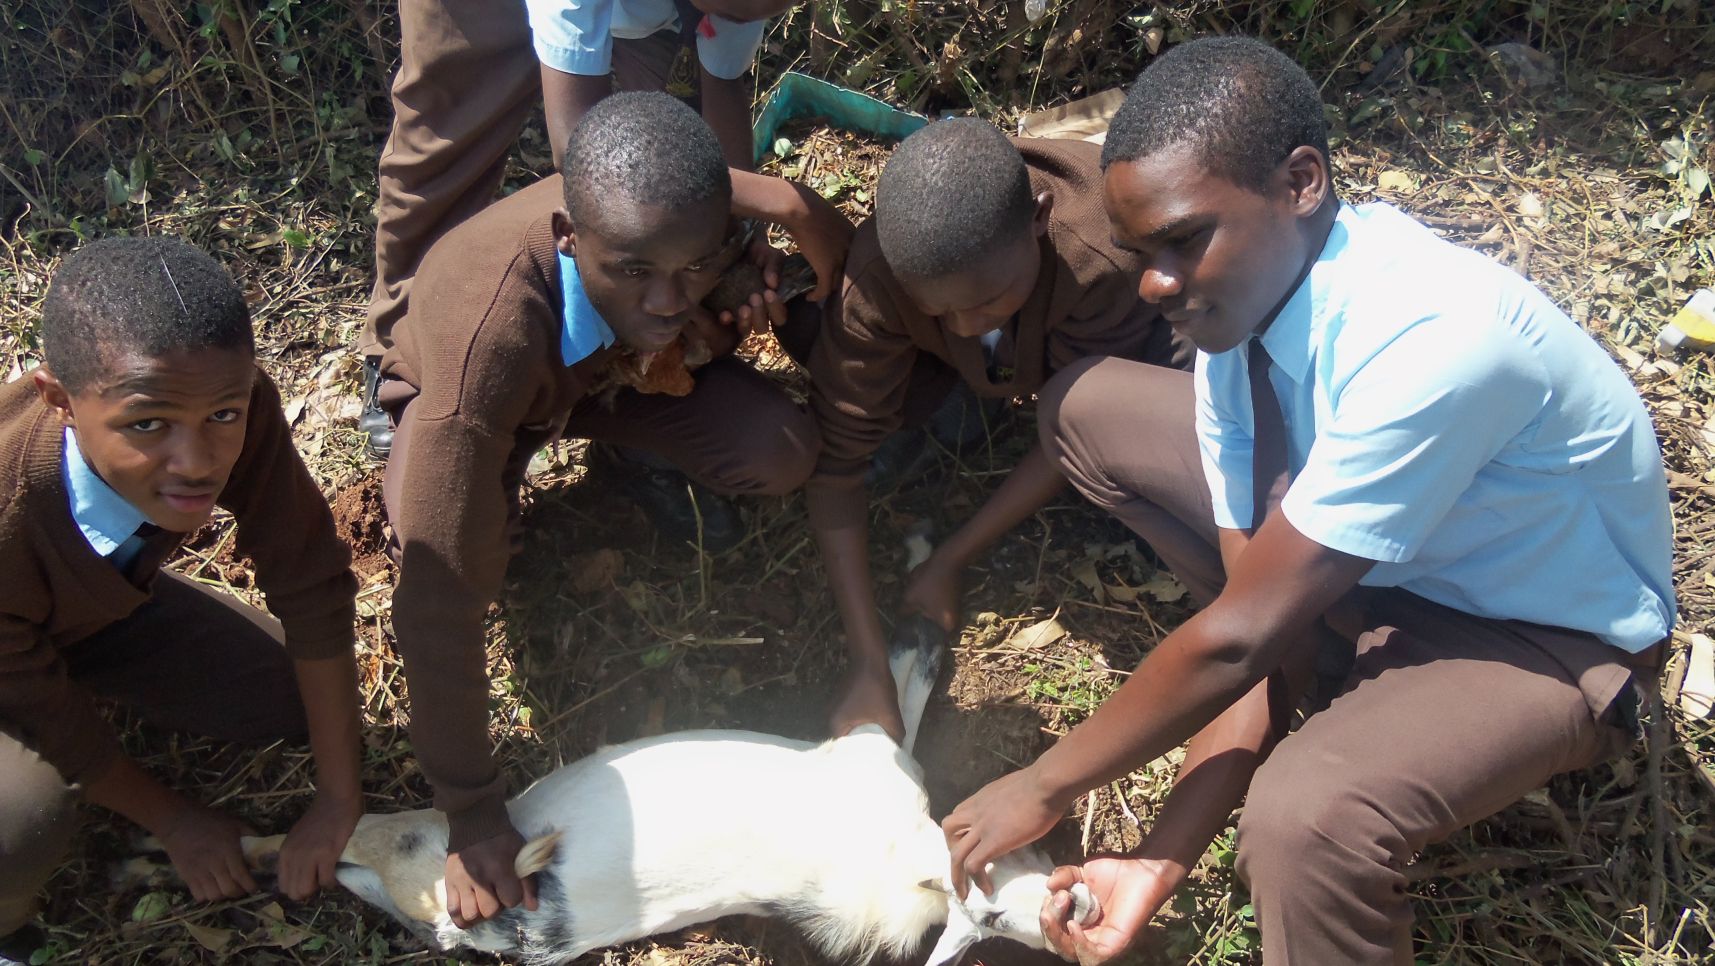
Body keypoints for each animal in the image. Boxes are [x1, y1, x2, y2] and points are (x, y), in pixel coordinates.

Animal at [236, 538, 1094, 964]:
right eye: (989, 913)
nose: (1074, 909)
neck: (899, 858)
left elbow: (908, 685)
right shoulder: (871, 752)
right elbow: (906, 686)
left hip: (415, 839)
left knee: (344, 846)